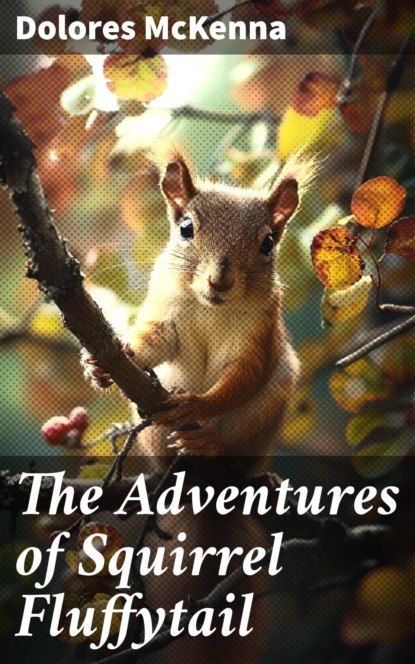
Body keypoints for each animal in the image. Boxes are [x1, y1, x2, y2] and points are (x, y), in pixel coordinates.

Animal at [82, 149, 311, 459]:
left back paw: (208, 441)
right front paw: (110, 360)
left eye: (268, 243)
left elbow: (247, 374)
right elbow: (156, 339)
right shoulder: (165, 308)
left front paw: (194, 406)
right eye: (186, 228)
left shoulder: (260, 330)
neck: (209, 308)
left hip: (263, 414)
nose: (220, 280)